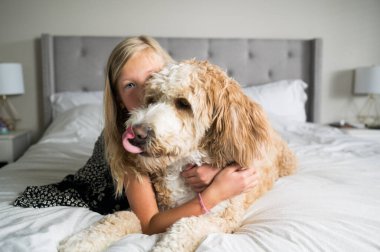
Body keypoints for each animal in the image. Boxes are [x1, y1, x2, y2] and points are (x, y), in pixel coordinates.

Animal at [58, 59, 296, 252]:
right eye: (151, 99)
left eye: (183, 103)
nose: (137, 133)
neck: (182, 166)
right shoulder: (153, 214)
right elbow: (120, 217)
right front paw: (79, 243)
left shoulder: (223, 218)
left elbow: (186, 226)